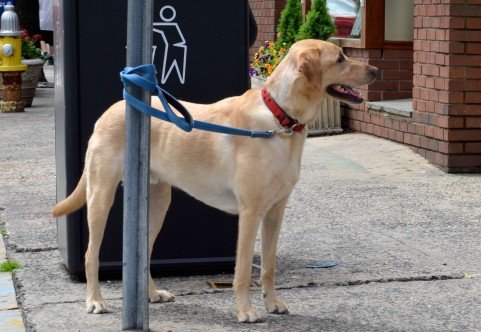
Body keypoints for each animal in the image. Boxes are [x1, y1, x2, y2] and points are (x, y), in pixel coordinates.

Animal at [51, 39, 376, 322]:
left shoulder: (275, 212)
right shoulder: (250, 213)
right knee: (91, 254)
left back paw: (152, 294)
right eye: (340, 59)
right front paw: (245, 311)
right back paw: (95, 300)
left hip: (157, 205)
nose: (374, 70)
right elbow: (243, 271)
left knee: (143, 254)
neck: (280, 119)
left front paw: (272, 303)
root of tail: (113, 108)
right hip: (100, 196)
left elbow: (268, 267)